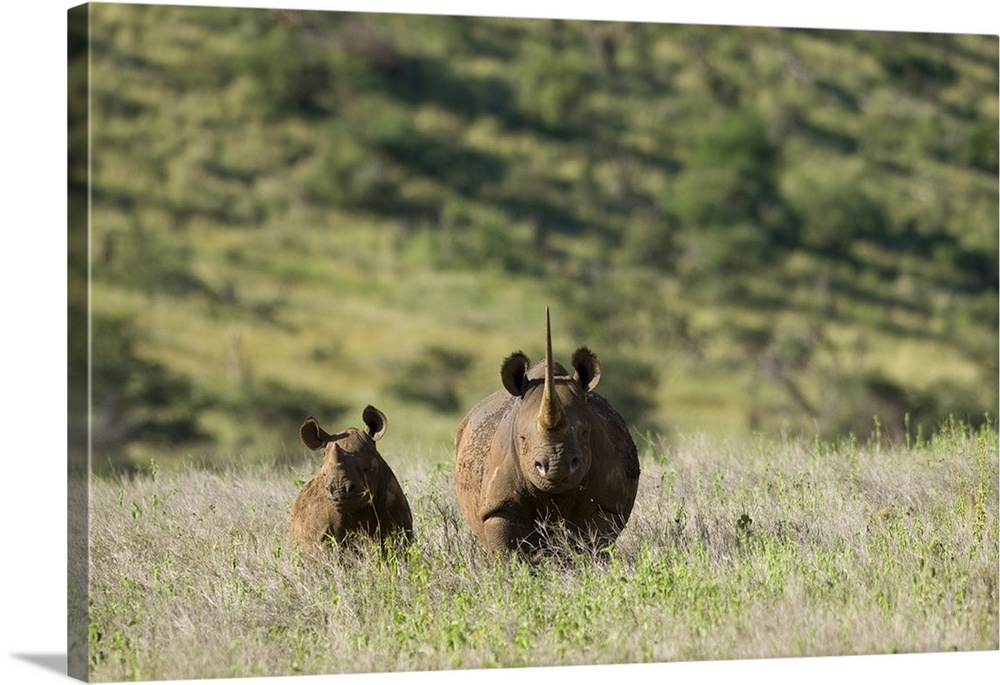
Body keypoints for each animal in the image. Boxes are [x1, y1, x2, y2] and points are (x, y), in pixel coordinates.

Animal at [456, 310, 640, 556]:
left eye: (584, 433)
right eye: (522, 438)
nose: (555, 466)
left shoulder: (606, 504)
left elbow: (593, 545)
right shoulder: (498, 506)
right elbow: (508, 552)